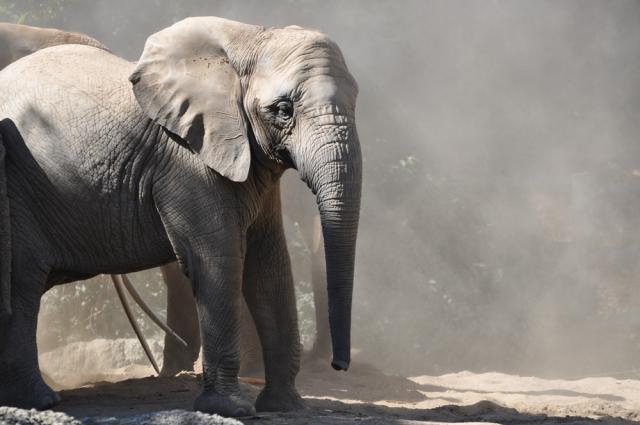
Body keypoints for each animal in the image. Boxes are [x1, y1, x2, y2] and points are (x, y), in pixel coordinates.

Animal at [0, 16, 360, 418]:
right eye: (283, 110)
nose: (339, 366)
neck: (248, 38)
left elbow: (270, 266)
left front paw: (285, 407)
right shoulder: (185, 159)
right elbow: (218, 261)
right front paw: (231, 409)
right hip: (22, 189)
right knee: (24, 282)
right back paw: (38, 399)